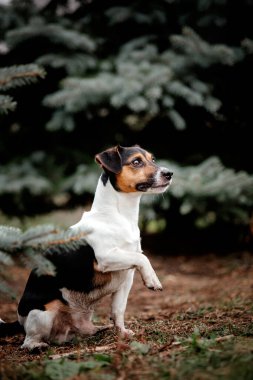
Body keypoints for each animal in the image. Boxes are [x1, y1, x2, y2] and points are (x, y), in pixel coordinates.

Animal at [0, 145, 172, 350]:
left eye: (153, 159)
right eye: (136, 161)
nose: (169, 173)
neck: (119, 216)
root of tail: (20, 321)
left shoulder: (126, 277)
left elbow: (118, 310)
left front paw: (121, 333)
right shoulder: (105, 258)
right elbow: (143, 258)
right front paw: (153, 280)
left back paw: (98, 329)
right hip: (42, 312)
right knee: (30, 339)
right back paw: (36, 345)